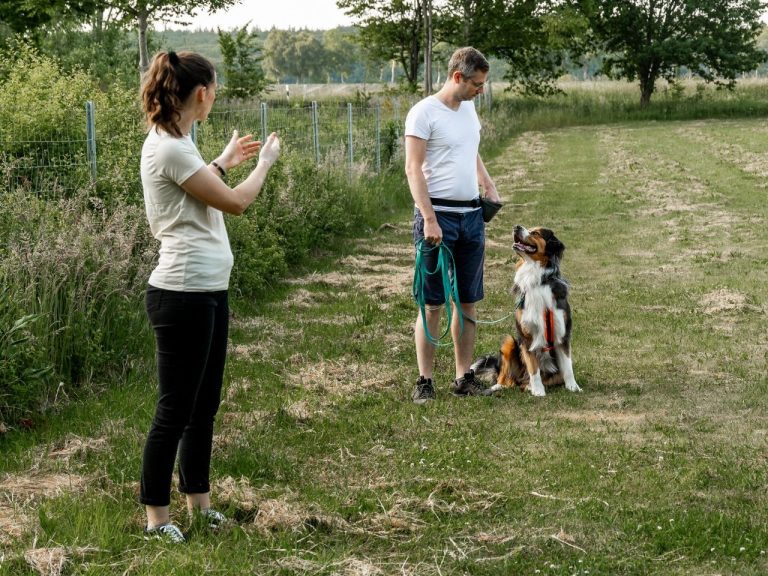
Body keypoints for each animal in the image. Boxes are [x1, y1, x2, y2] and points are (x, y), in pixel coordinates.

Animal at [468, 225, 584, 396]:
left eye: (535, 232)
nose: (516, 227)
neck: (537, 278)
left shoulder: (563, 333)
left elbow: (568, 367)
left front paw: (573, 387)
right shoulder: (526, 336)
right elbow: (533, 368)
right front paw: (538, 391)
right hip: (509, 342)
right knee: (506, 379)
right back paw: (498, 387)